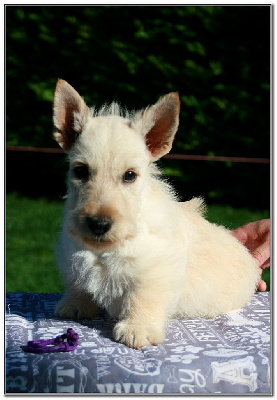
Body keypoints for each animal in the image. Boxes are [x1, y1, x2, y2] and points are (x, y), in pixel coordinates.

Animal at [52, 79, 258, 348]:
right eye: (80, 171)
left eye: (130, 175)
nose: (98, 224)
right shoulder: (71, 253)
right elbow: (77, 282)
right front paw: (74, 306)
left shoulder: (154, 270)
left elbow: (142, 296)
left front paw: (137, 329)